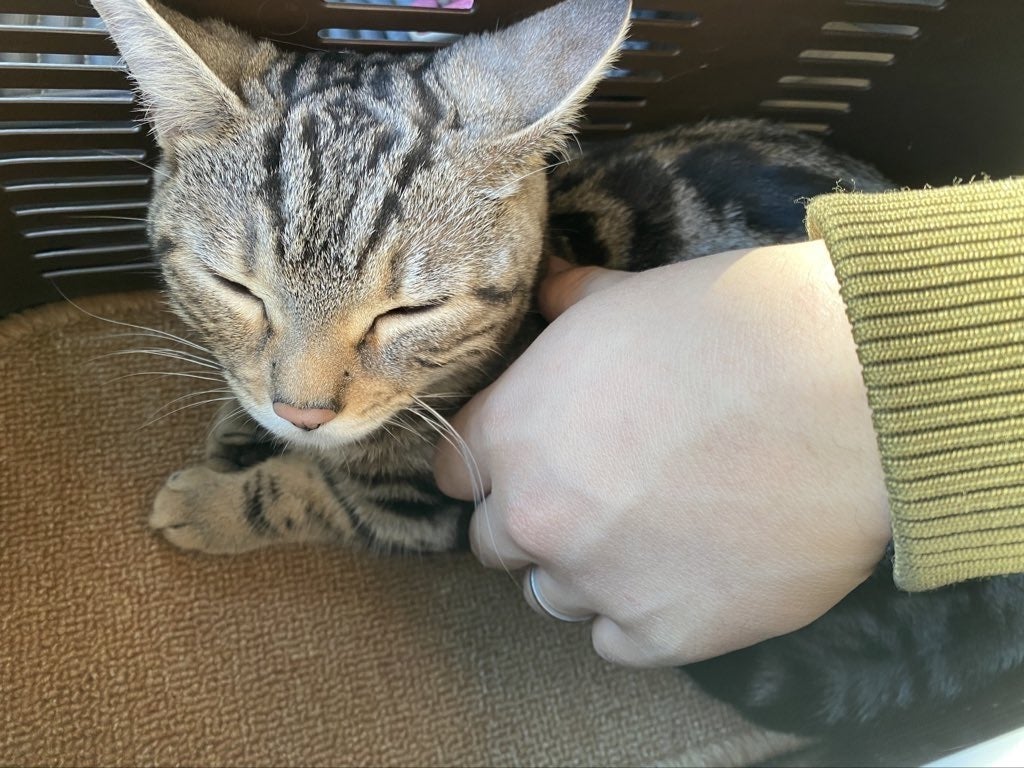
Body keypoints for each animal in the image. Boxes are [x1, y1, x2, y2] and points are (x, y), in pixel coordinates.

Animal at [92, 0, 1024, 748]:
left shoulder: (428, 499)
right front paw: (238, 428)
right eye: (235, 288)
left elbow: (316, 494)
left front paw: (215, 502)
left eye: (409, 311)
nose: (305, 410)